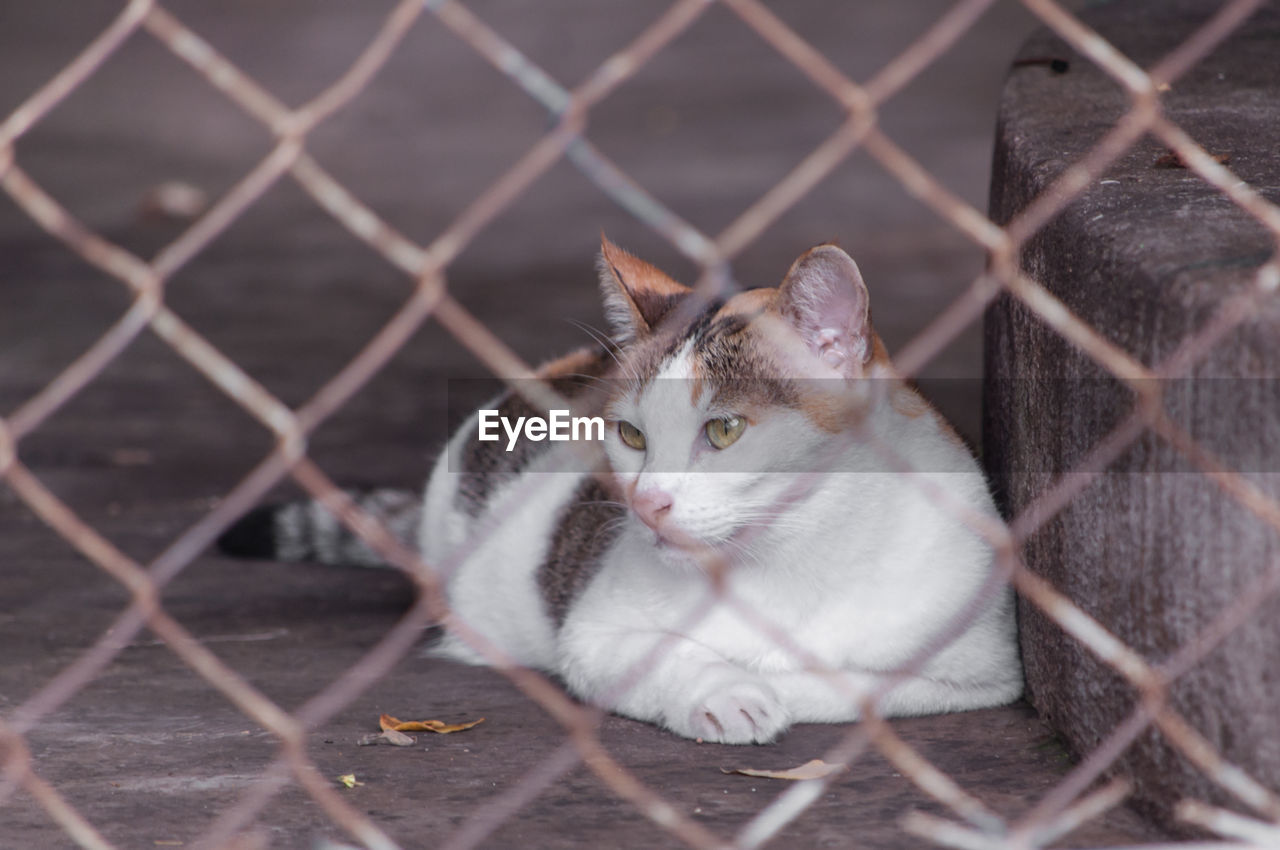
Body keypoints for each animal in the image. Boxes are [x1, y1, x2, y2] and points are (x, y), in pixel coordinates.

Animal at [217, 235, 1018, 742]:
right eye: (631, 435)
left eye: (723, 431)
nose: (644, 502)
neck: (797, 556)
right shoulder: (593, 631)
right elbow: (661, 658)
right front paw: (728, 693)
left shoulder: (983, 668)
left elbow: (863, 683)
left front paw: (777, 683)